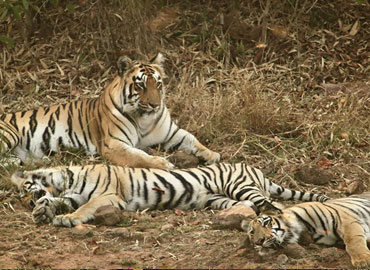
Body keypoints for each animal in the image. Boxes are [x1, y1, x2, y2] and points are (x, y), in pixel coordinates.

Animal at [0, 53, 220, 169]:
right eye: (141, 85)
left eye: (158, 84)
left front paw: (212, 154)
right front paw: (164, 164)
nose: (155, 105)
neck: (144, 119)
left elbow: (192, 139)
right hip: (9, 135)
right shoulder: (114, 143)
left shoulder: (172, 133)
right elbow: (140, 156)